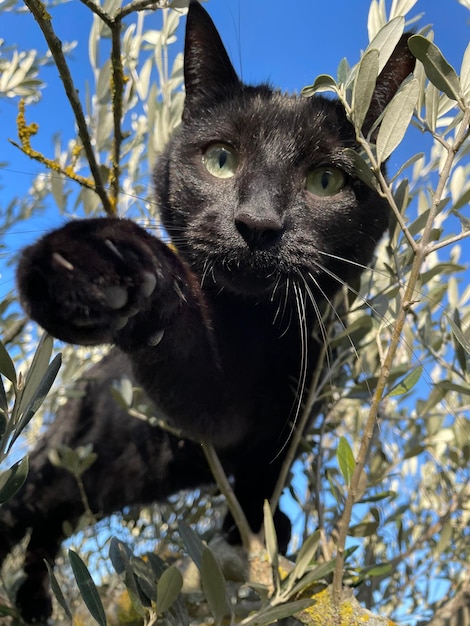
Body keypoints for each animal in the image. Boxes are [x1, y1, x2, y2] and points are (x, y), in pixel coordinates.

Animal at [0, 2, 414, 620]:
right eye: (221, 158)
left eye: (327, 180)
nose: (258, 223)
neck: (260, 331)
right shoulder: (205, 411)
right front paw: (88, 263)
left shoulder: (297, 402)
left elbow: (266, 472)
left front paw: (259, 527)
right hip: (64, 457)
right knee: (23, 508)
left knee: (50, 527)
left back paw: (34, 600)